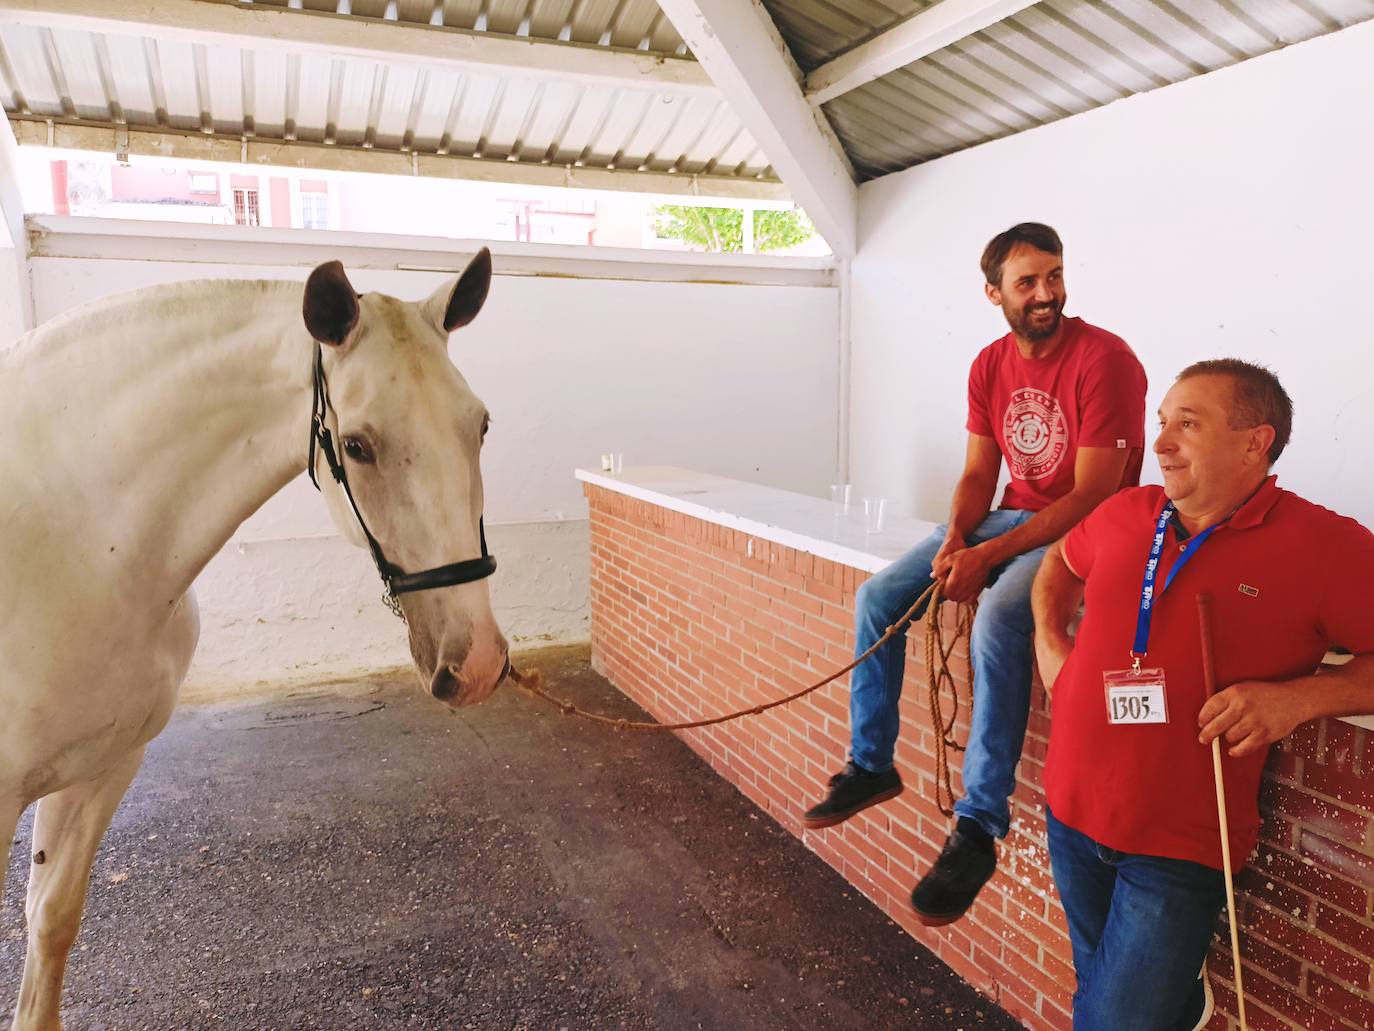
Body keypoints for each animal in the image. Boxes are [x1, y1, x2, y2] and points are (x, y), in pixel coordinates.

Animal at [0, 249, 508, 1031]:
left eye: (478, 426)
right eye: (357, 445)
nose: (476, 663)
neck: (75, 537)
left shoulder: (106, 766)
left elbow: (51, 921)